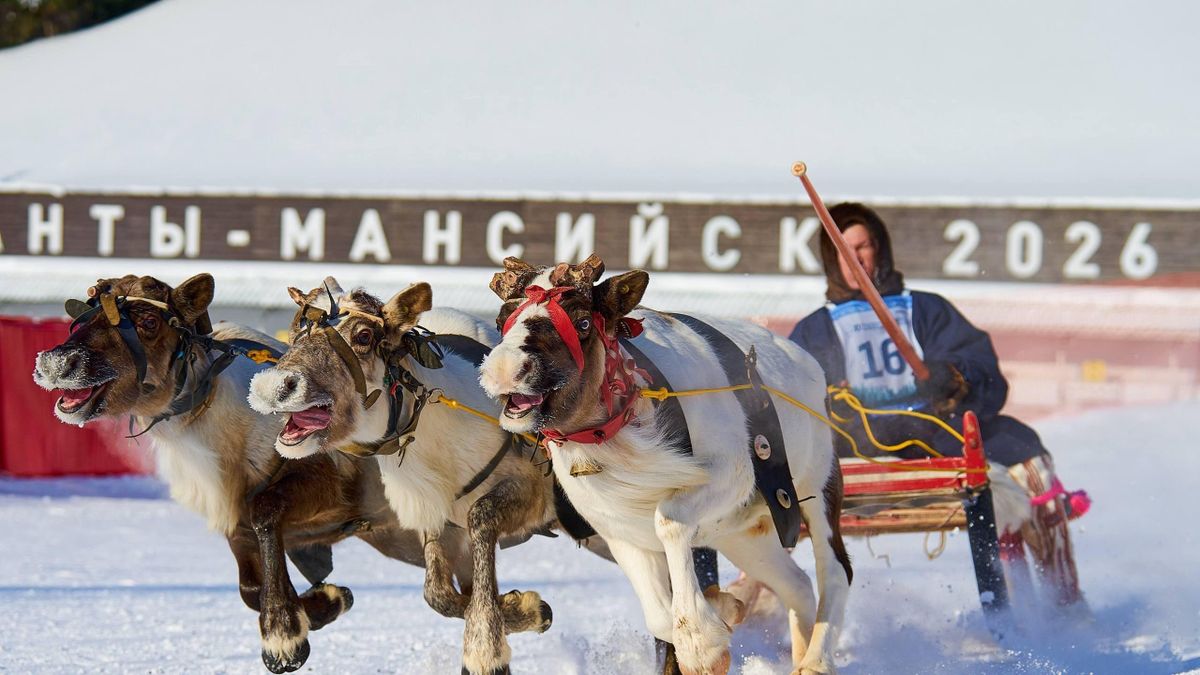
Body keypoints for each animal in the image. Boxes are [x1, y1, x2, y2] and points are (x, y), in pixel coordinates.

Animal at [31, 273, 470, 673]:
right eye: (87, 309)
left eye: (149, 321)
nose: (56, 362)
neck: (213, 415)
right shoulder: (236, 520)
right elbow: (249, 587)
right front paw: (325, 602)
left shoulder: (326, 487)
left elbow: (266, 511)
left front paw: (282, 634)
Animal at [247, 277, 558, 675]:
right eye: (298, 329)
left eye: (364, 335)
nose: (271, 386)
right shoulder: (436, 515)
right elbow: (438, 594)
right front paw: (282, 635)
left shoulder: (533, 493)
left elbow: (482, 518)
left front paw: (484, 652)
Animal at [477, 255, 853, 675]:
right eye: (502, 318)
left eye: (584, 321)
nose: (505, 368)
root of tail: (811, 366)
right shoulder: (618, 531)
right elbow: (659, 616)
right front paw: (721, 613)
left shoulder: (732, 474)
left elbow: (670, 521)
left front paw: (702, 643)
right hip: (743, 535)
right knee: (798, 586)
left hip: (816, 489)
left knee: (835, 572)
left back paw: (816, 660)